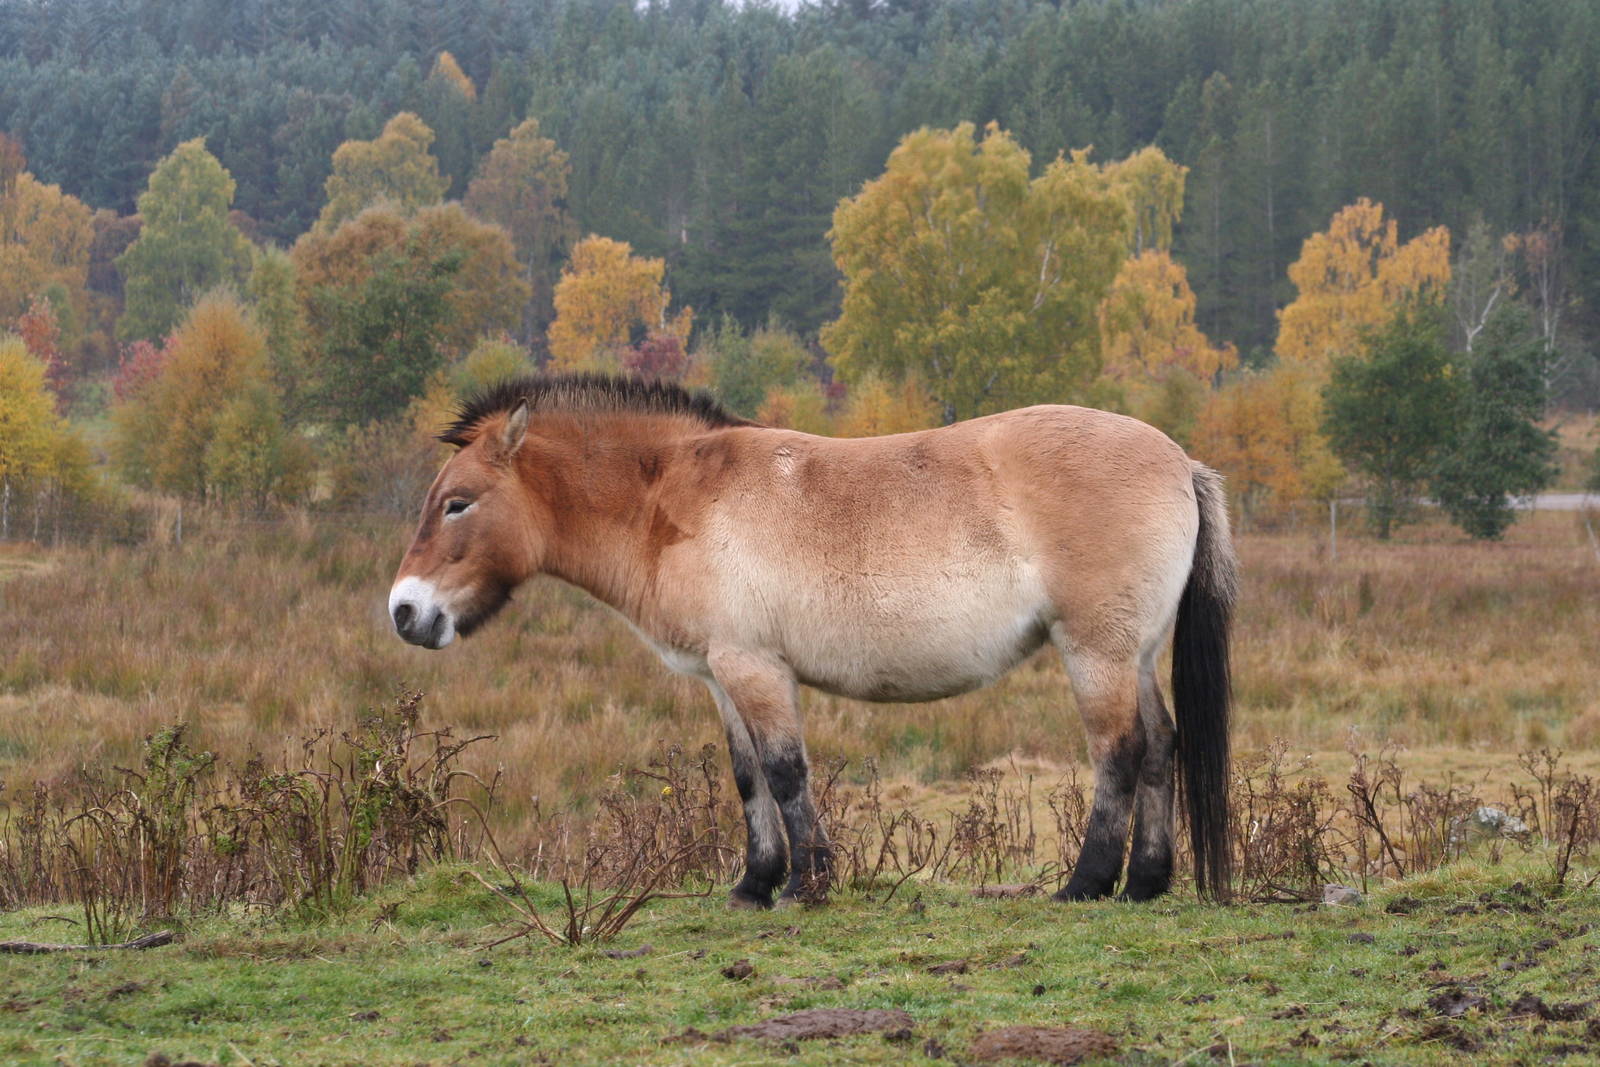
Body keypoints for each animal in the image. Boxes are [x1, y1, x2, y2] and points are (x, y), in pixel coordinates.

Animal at [388, 373, 1236, 907]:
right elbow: (747, 778)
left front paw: (807, 883)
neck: (676, 495)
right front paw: (754, 884)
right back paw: (1145, 883)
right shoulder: (722, 675)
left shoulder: (755, 667)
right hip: (1133, 653)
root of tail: (1180, 460)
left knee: (1120, 751)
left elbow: (786, 770)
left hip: (1095, 650)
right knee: (1161, 745)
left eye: (458, 502)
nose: (405, 611)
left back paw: (1086, 883)